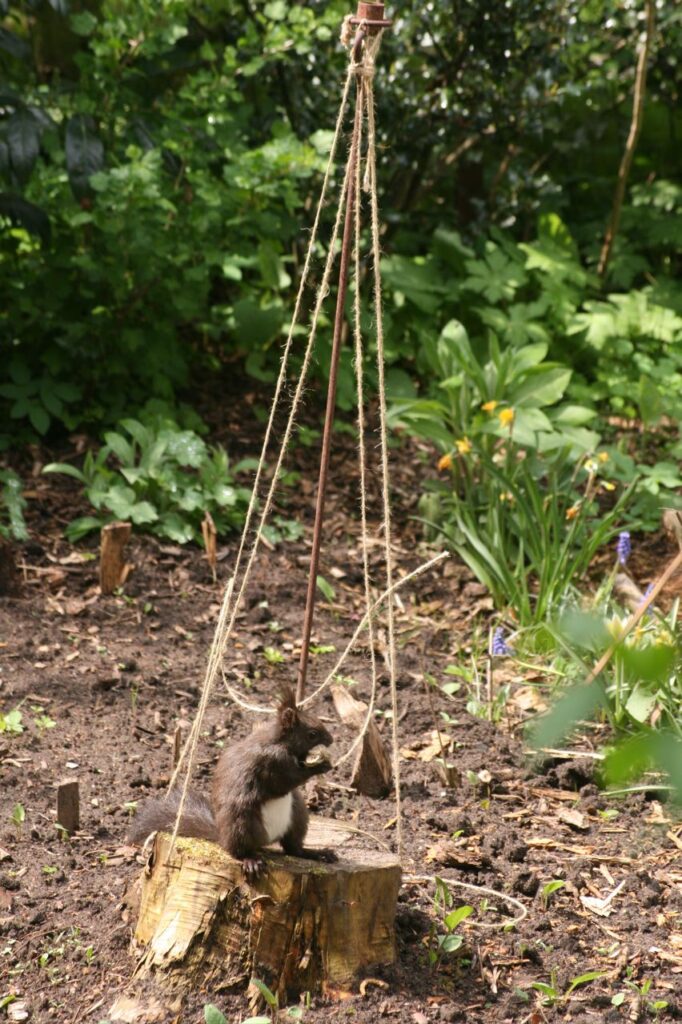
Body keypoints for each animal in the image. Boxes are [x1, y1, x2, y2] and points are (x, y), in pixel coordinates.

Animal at [130, 685, 336, 880]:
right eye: (312, 734)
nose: (331, 740)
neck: (279, 741)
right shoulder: (273, 763)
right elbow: (287, 780)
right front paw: (321, 765)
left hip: (298, 815)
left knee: (293, 848)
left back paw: (317, 853)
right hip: (241, 821)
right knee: (238, 851)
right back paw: (250, 860)